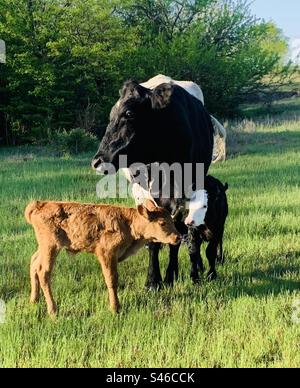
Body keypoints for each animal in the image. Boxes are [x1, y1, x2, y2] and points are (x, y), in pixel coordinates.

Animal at [25, 200, 180, 316]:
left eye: (172, 220)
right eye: (162, 223)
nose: (177, 237)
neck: (129, 223)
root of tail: (40, 204)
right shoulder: (106, 253)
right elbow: (111, 279)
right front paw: (115, 308)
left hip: (43, 247)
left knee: (33, 263)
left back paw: (34, 301)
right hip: (51, 246)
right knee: (43, 271)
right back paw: (53, 311)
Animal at [92, 80, 214, 288]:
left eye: (129, 113)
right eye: (111, 114)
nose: (97, 162)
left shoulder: (185, 194)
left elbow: (181, 233)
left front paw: (173, 275)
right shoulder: (146, 196)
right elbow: (153, 239)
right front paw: (153, 280)